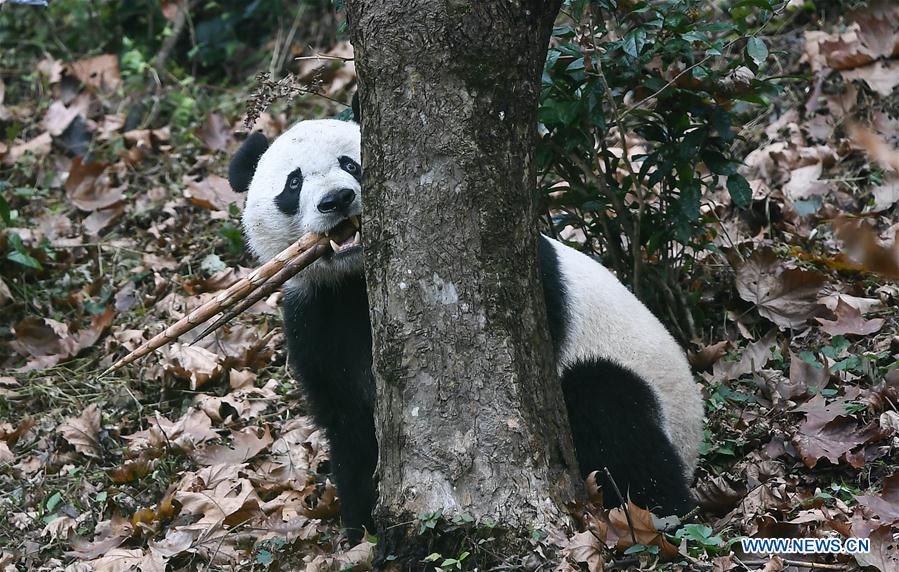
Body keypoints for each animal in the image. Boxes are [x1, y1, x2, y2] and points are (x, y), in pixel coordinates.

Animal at [229, 116, 704, 540]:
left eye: (351, 164)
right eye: (293, 183)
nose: (337, 199)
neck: (353, 278)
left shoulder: (522, 276)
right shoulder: (317, 318)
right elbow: (349, 423)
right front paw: (362, 529)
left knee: (612, 412)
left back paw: (661, 516)